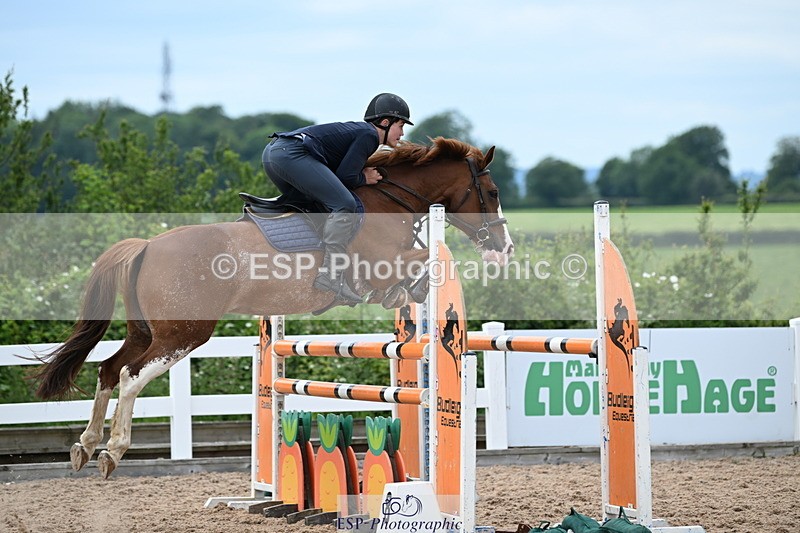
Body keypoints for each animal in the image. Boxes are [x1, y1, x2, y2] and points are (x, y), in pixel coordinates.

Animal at [33, 137, 515, 478]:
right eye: (491, 191)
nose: (504, 249)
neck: (389, 201)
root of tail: (147, 245)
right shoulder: (382, 263)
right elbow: (421, 264)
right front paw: (406, 291)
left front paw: (405, 299)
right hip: (182, 333)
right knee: (132, 376)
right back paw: (112, 451)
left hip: (146, 330)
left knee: (108, 369)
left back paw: (85, 445)